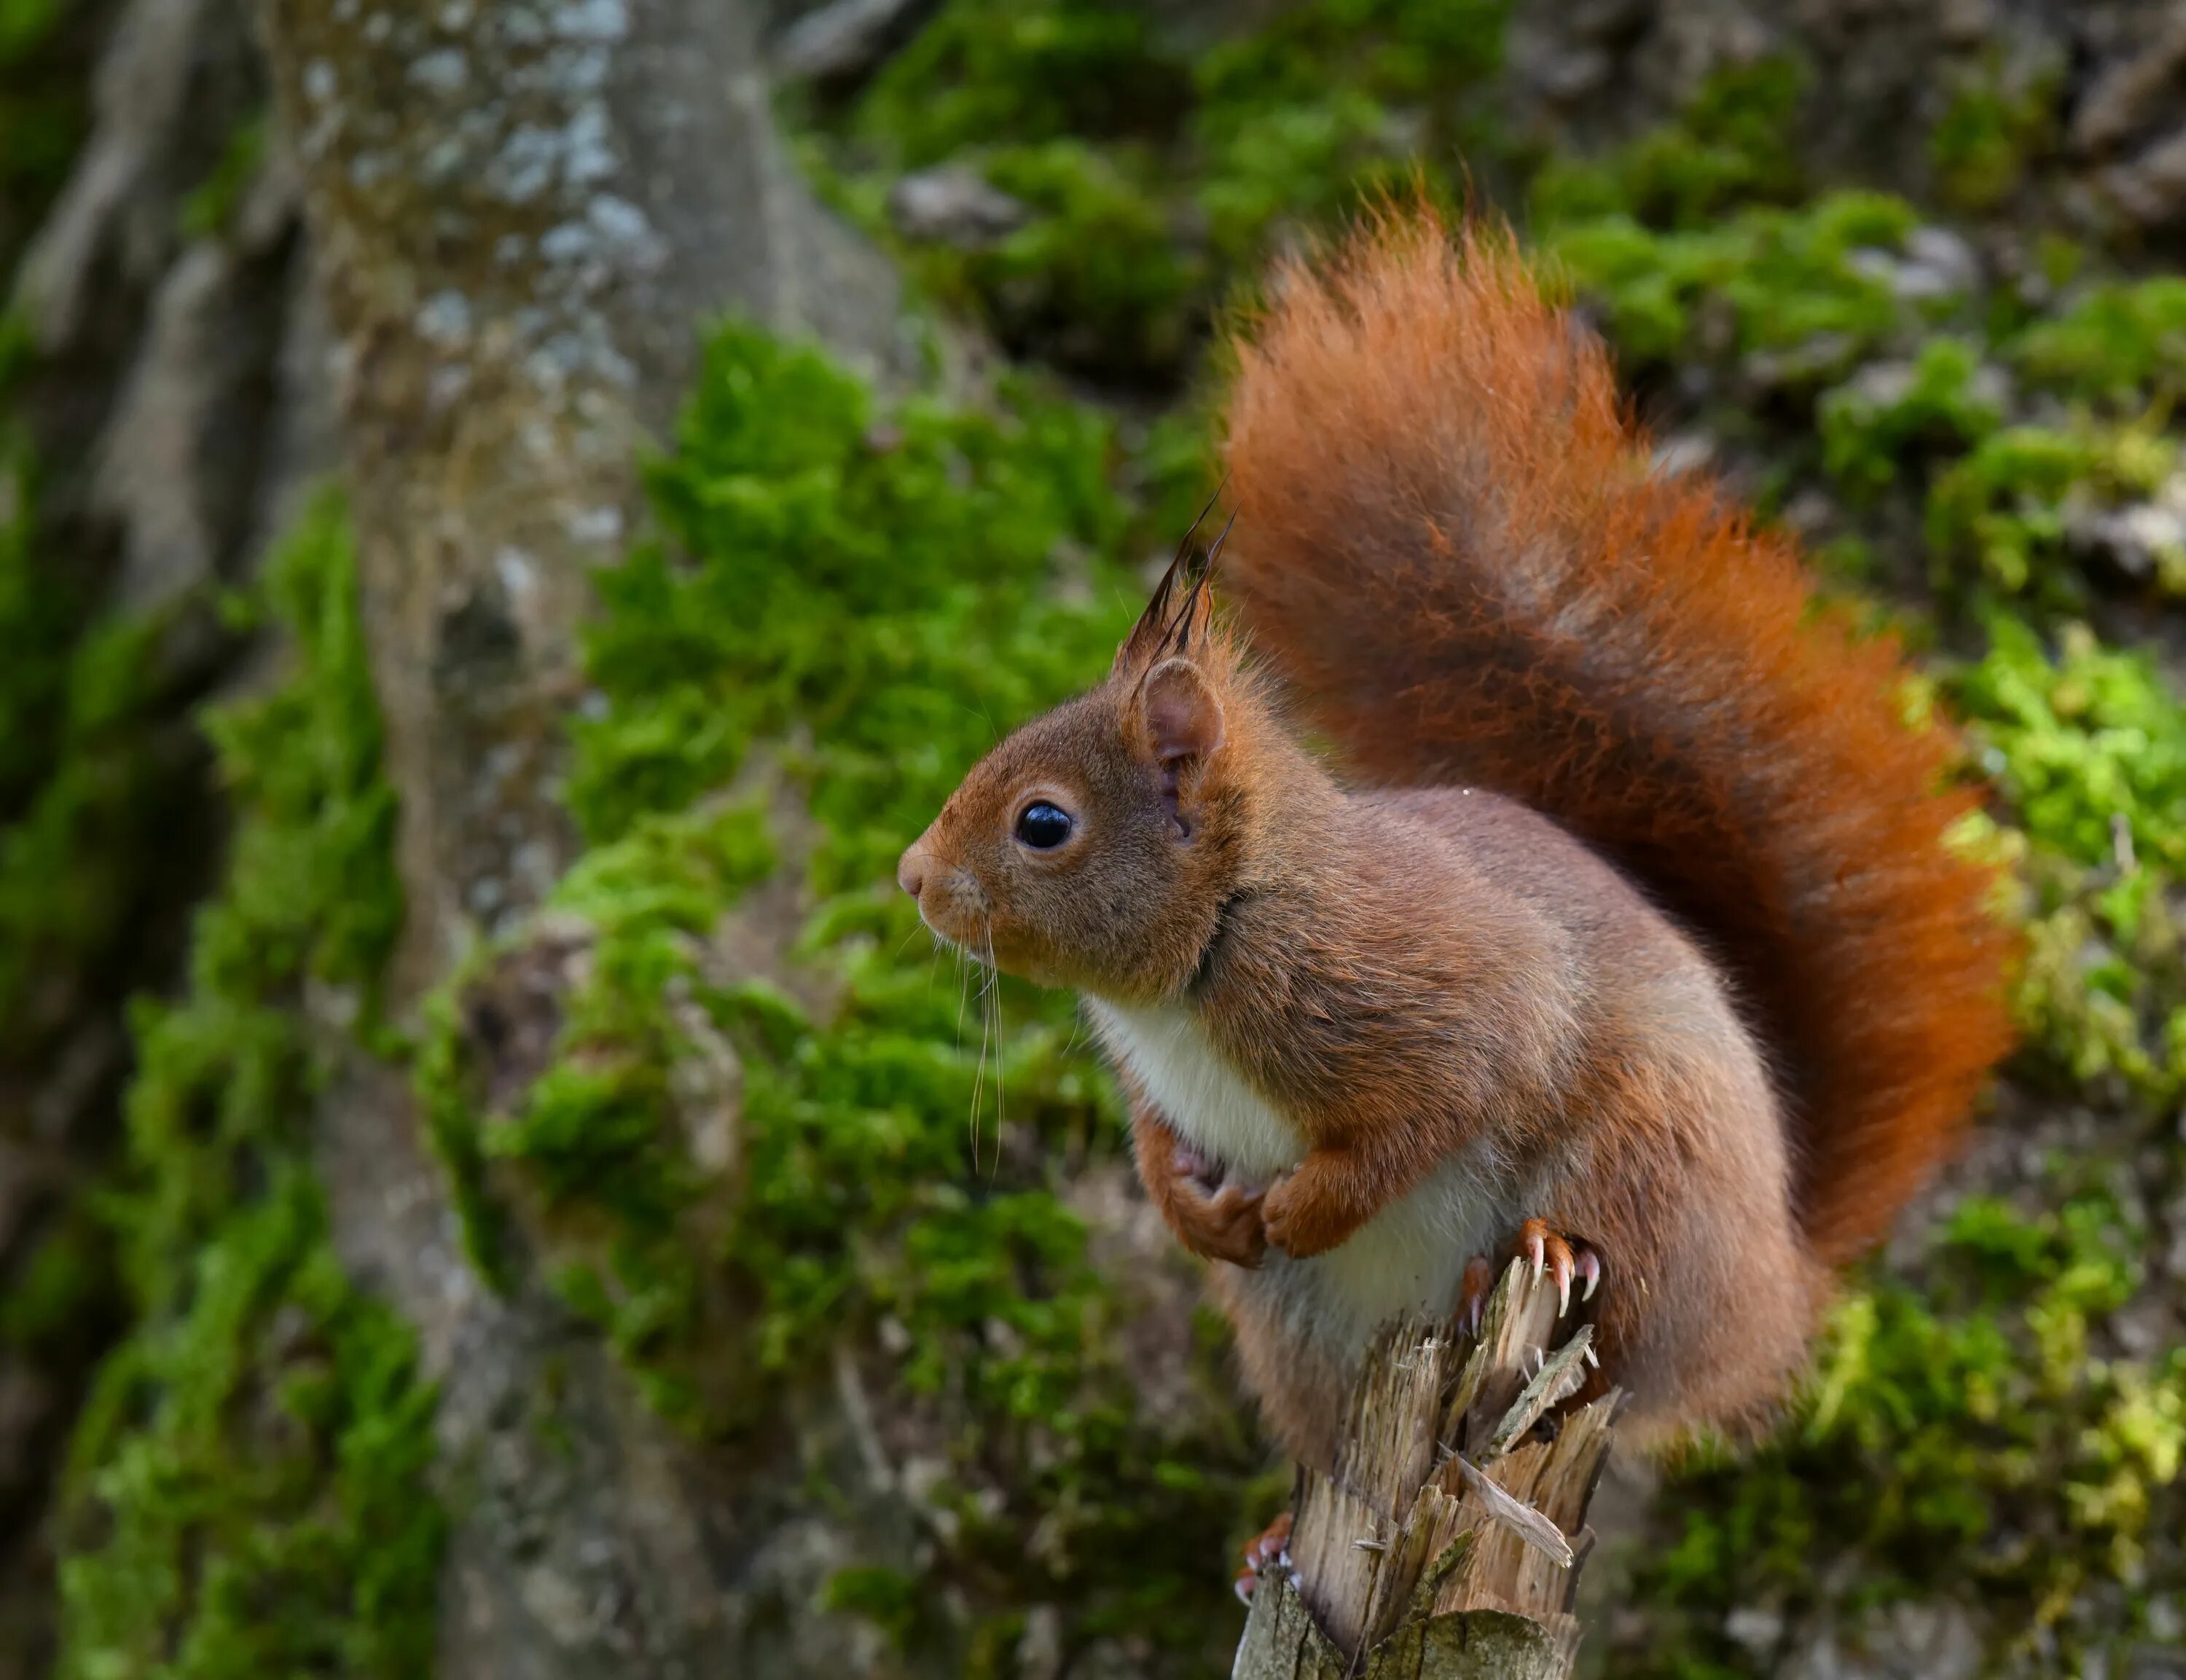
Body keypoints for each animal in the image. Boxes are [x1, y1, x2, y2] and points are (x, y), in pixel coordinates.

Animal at [888, 206, 2011, 1485]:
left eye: (1043, 824)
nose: (911, 878)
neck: (1216, 944)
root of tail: (1778, 1291)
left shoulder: (1430, 993)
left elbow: (1429, 1109)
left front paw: (1303, 1208)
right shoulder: (1161, 1082)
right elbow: (1157, 1142)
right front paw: (1195, 1210)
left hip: (1648, 1158)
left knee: (1617, 1332)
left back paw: (1530, 1256)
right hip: (1303, 1332)